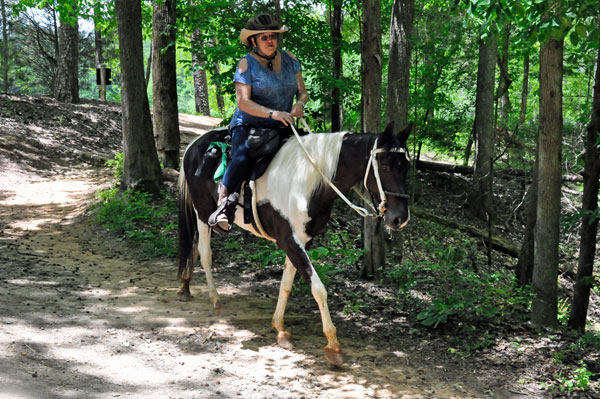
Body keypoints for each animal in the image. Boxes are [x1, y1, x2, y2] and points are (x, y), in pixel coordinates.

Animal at [177, 122, 412, 366]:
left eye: (406, 166)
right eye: (385, 166)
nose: (400, 219)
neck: (307, 181)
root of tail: (195, 144)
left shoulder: (302, 241)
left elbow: (286, 284)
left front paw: (280, 329)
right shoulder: (289, 240)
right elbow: (318, 288)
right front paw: (333, 345)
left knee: (194, 247)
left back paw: (184, 287)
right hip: (203, 213)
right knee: (205, 253)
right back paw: (215, 301)